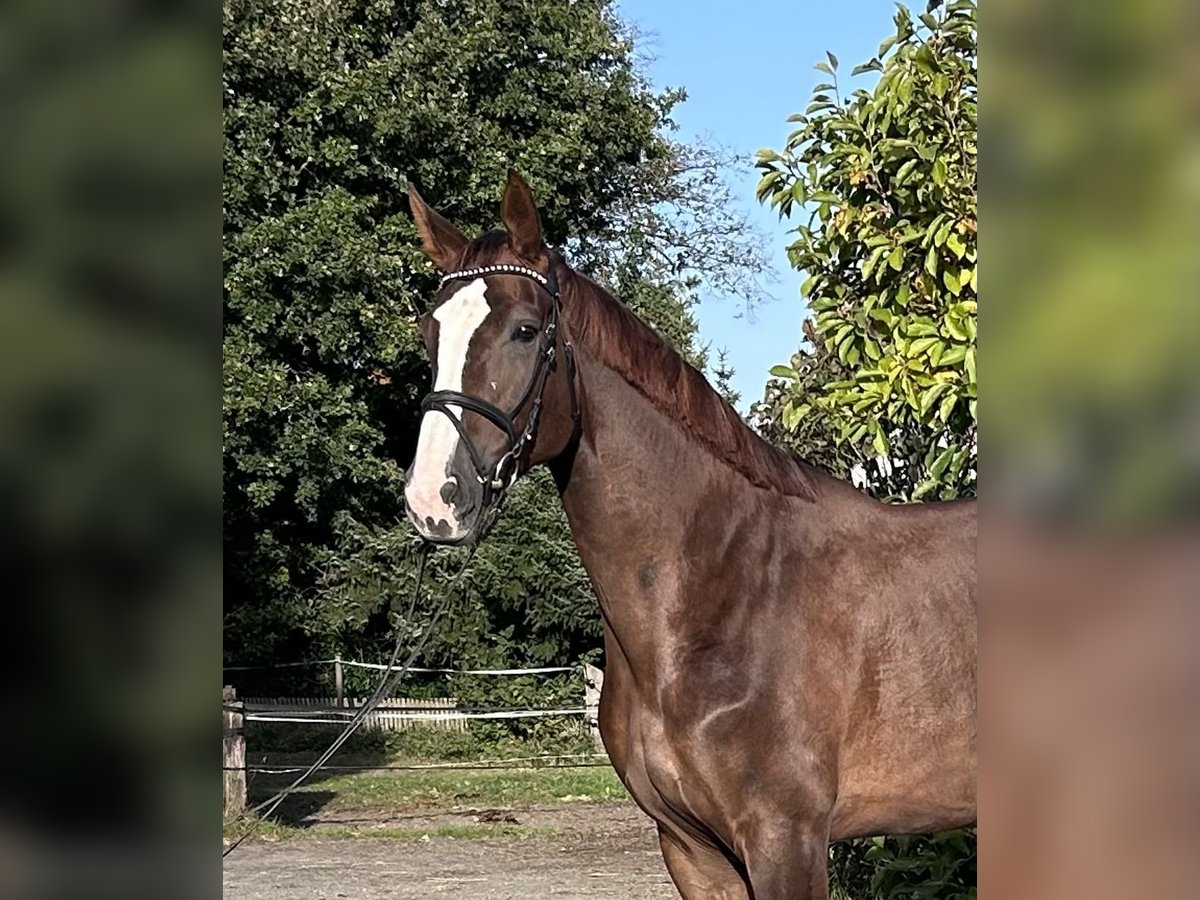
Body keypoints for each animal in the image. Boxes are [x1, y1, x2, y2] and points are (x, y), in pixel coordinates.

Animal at [403, 172, 974, 897]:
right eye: (429, 335)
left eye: (525, 331)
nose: (434, 499)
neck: (722, 591)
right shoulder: (690, 849)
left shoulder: (784, 839)